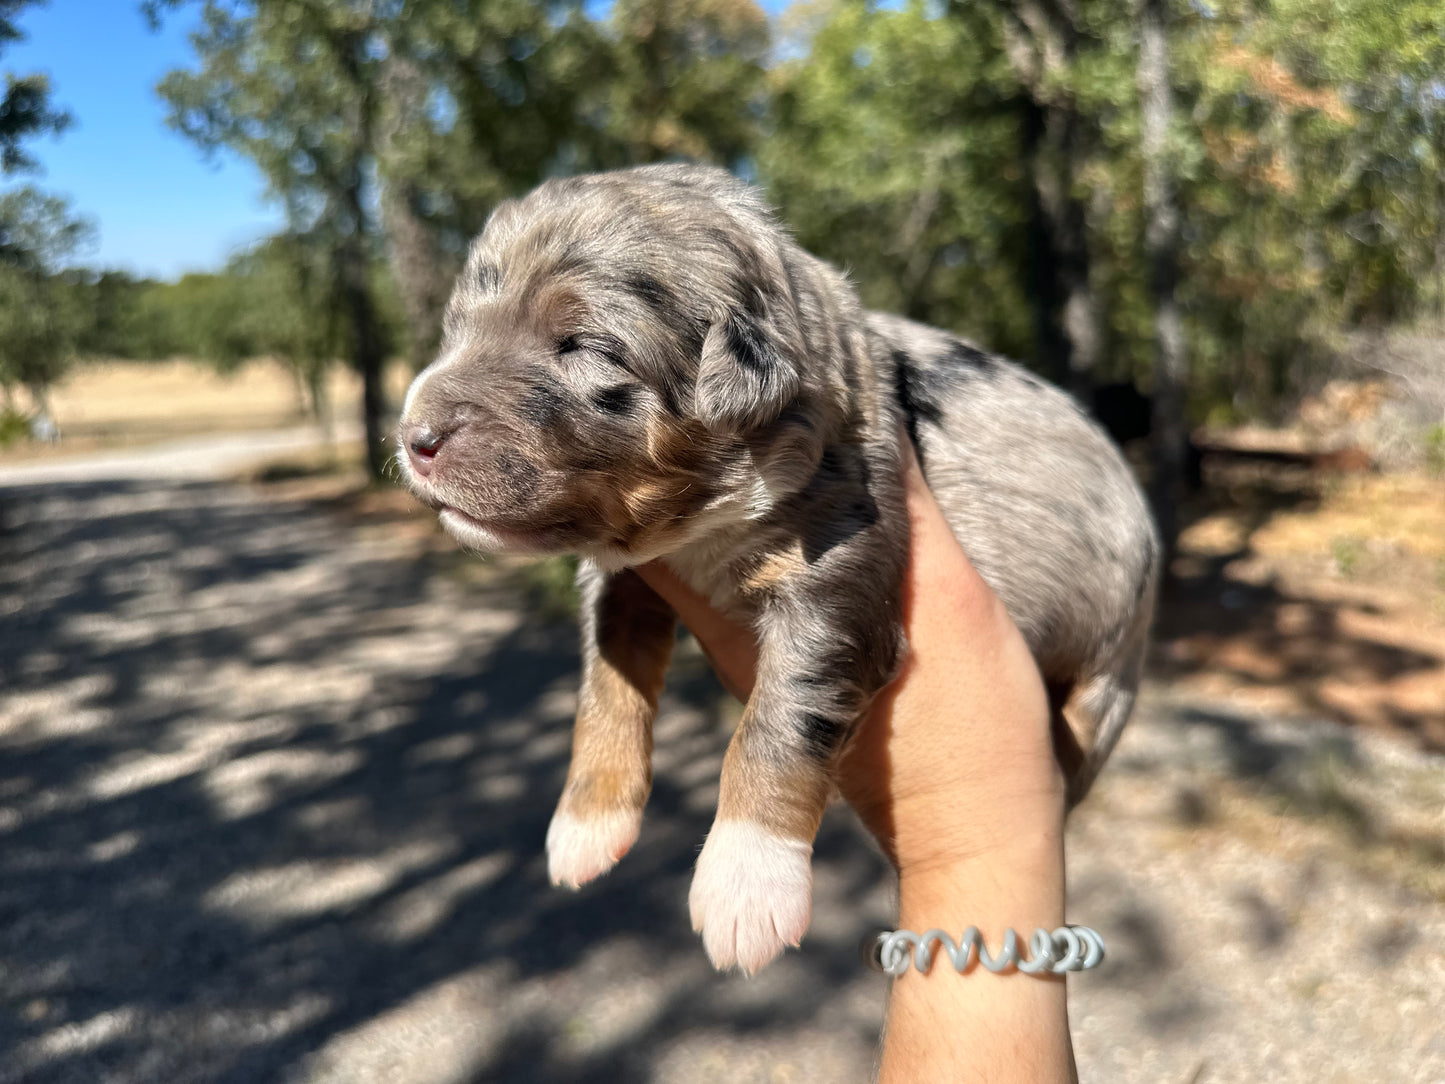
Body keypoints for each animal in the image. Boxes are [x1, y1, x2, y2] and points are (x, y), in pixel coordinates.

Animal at [398, 165, 1161, 982]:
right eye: (458, 329)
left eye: (583, 347)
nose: (414, 436)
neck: (695, 527)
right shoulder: (623, 579)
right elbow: (606, 688)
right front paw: (585, 824)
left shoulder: (839, 564)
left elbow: (782, 715)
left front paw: (746, 884)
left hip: (1111, 674)